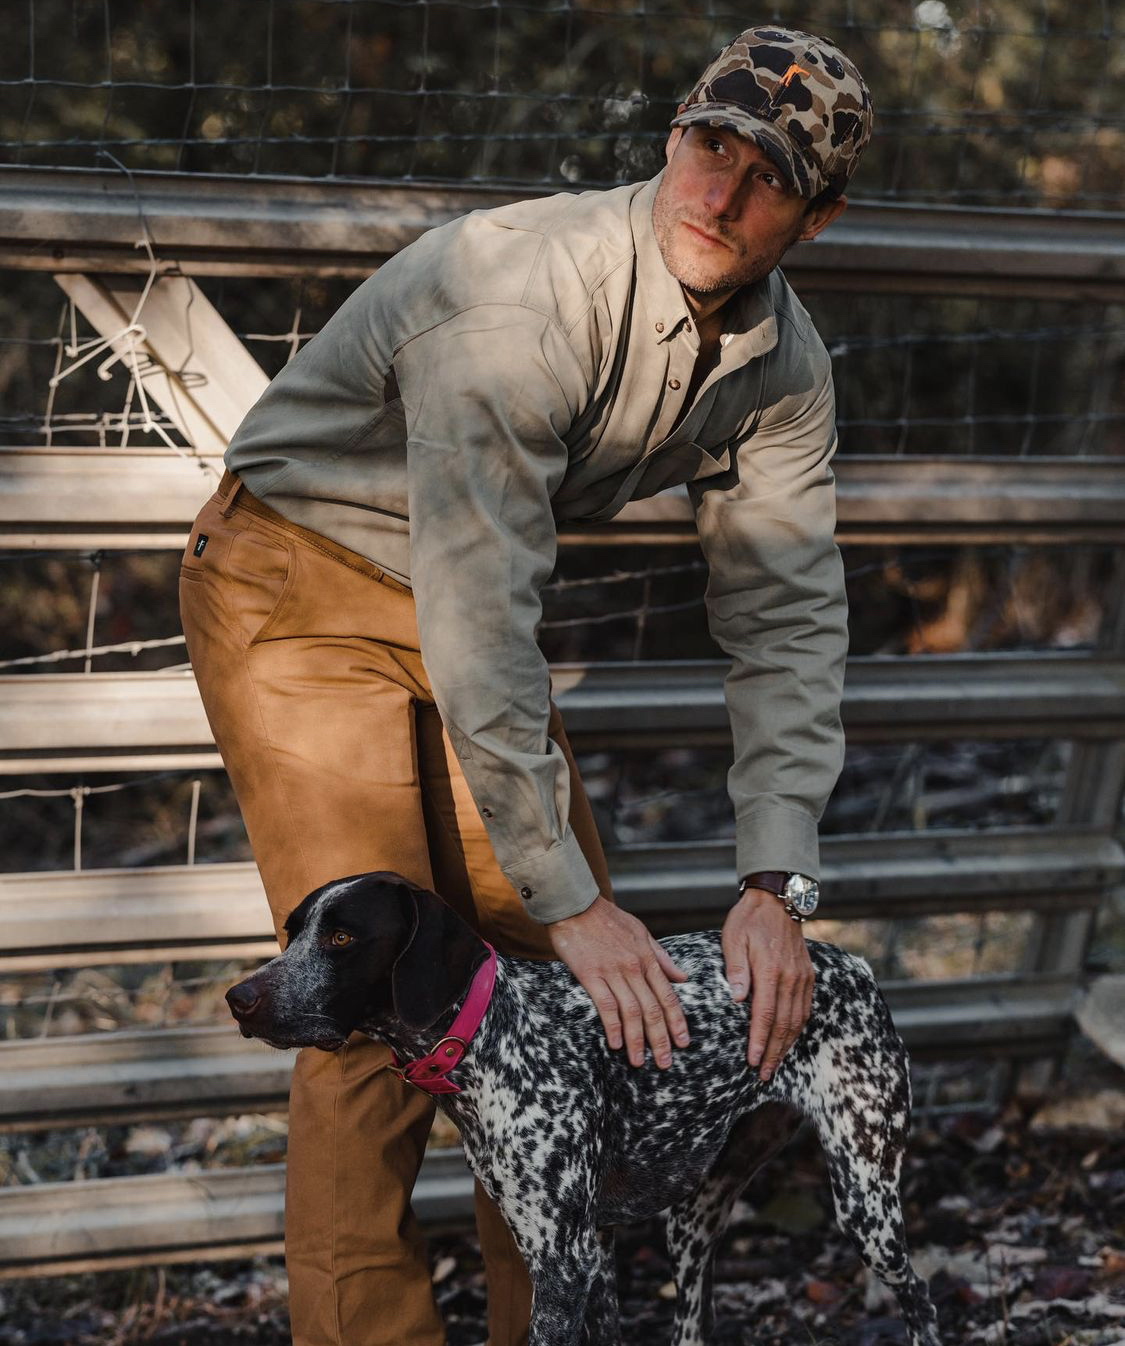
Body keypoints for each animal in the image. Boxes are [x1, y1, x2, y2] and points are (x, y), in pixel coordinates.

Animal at [228, 872, 941, 1346]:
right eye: (293, 932)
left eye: (343, 937)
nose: (239, 998)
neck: (491, 1034)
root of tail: (848, 961)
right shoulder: (585, 1252)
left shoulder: (562, 1261)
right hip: (694, 1216)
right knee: (694, 1323)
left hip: (865, 1201)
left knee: (922, 1300)